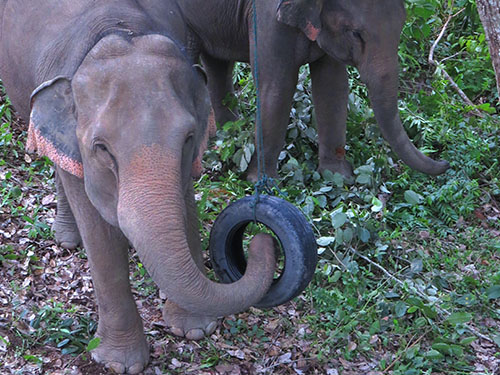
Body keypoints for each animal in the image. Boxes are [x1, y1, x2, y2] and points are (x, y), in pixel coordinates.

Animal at [0, 1, 276, 374]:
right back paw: (68, 239)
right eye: (102, 148)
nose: (263, 240)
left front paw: (193, 329)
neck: (121, 33)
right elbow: (99, 232)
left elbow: (185, 205)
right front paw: (120, 364)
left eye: (189, 138)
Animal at [174, 0, 452, 182]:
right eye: (356, 33)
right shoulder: (265, 15)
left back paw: (227, 136)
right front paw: (262, 183)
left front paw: (337, 177)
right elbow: (277, 86)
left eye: (403, 23)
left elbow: (332, 86)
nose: (444, 160)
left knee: (217, 65)